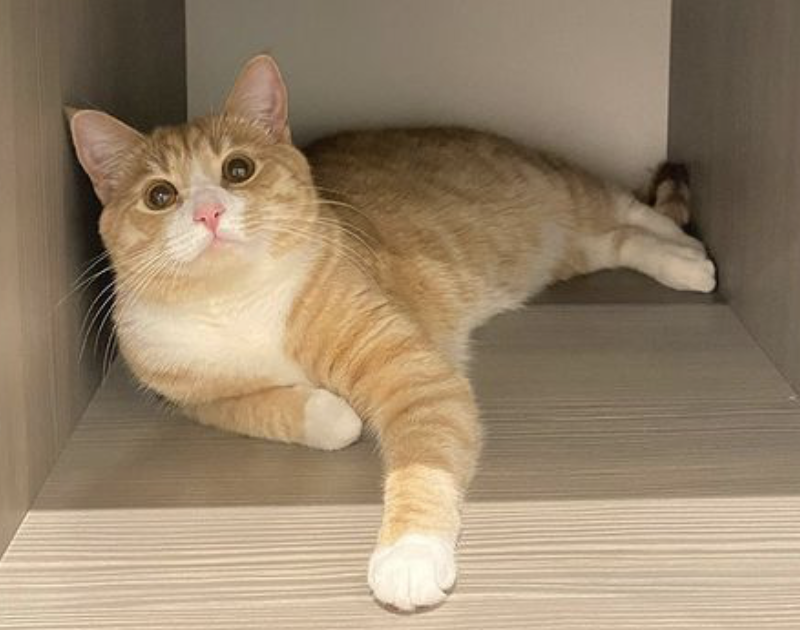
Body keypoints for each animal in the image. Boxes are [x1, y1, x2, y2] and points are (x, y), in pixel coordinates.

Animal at [70, 53, 712, 612]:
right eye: (160, 196)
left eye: (238, 169)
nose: (208, 212)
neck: (234, 303)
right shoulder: (197, 401)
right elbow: (288, 412)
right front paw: (335, 413)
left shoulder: (414, 374)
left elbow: (422, 468)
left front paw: (410, 556)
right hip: (558, 254)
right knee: (616, 241)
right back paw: (679, 258)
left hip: (568, 192)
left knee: (633, 211)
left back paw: (690, 255)